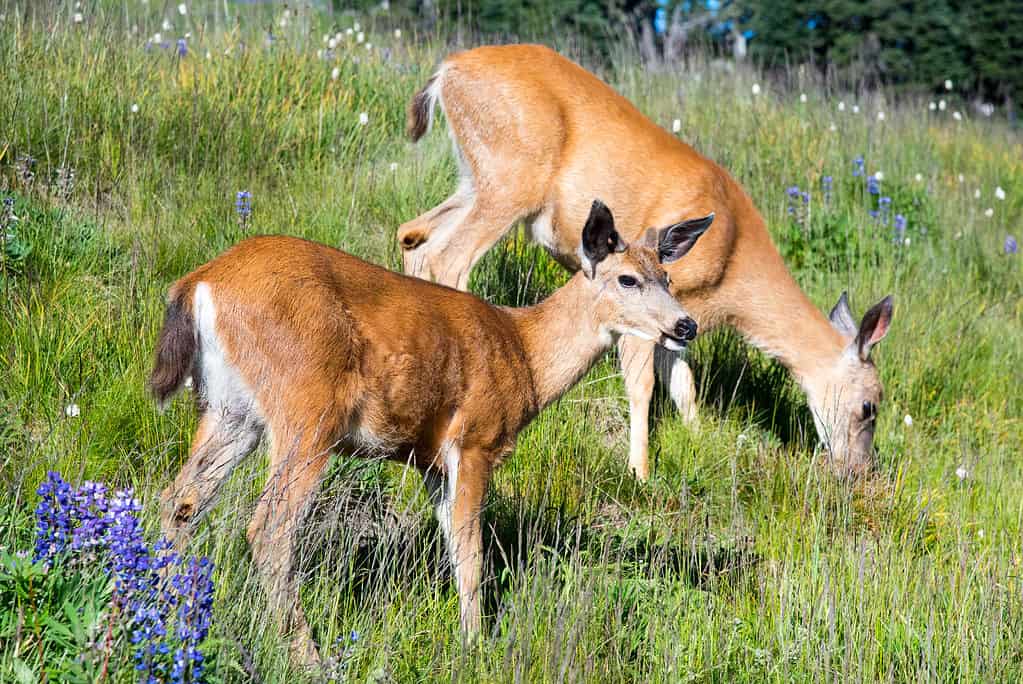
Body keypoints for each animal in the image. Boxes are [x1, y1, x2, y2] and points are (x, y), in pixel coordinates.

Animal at [149, 201, 712, 662]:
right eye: (627, 280)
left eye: (666, 275)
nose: (685, 326)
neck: (525, 357)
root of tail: (200, 283)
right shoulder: (477, 438)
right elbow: (472, 551)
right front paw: (475, 647)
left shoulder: (432, 463)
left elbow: (453, 544)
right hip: (307, 407)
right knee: (269, 527)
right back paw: (306, 656)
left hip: (229, 410)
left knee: (179, 501)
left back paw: (173, 614)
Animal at [394, 42, 892, 480]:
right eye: (870, 405)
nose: (858, 472)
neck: (732, 271)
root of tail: (447, 71)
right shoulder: (641, 309)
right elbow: (643, 387)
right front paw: (640, 471)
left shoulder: (679, 316)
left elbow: (685, 386)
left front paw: (697, 441)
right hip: (511, 178)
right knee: (448, 257)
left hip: (474, 179)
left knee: (414, 236)